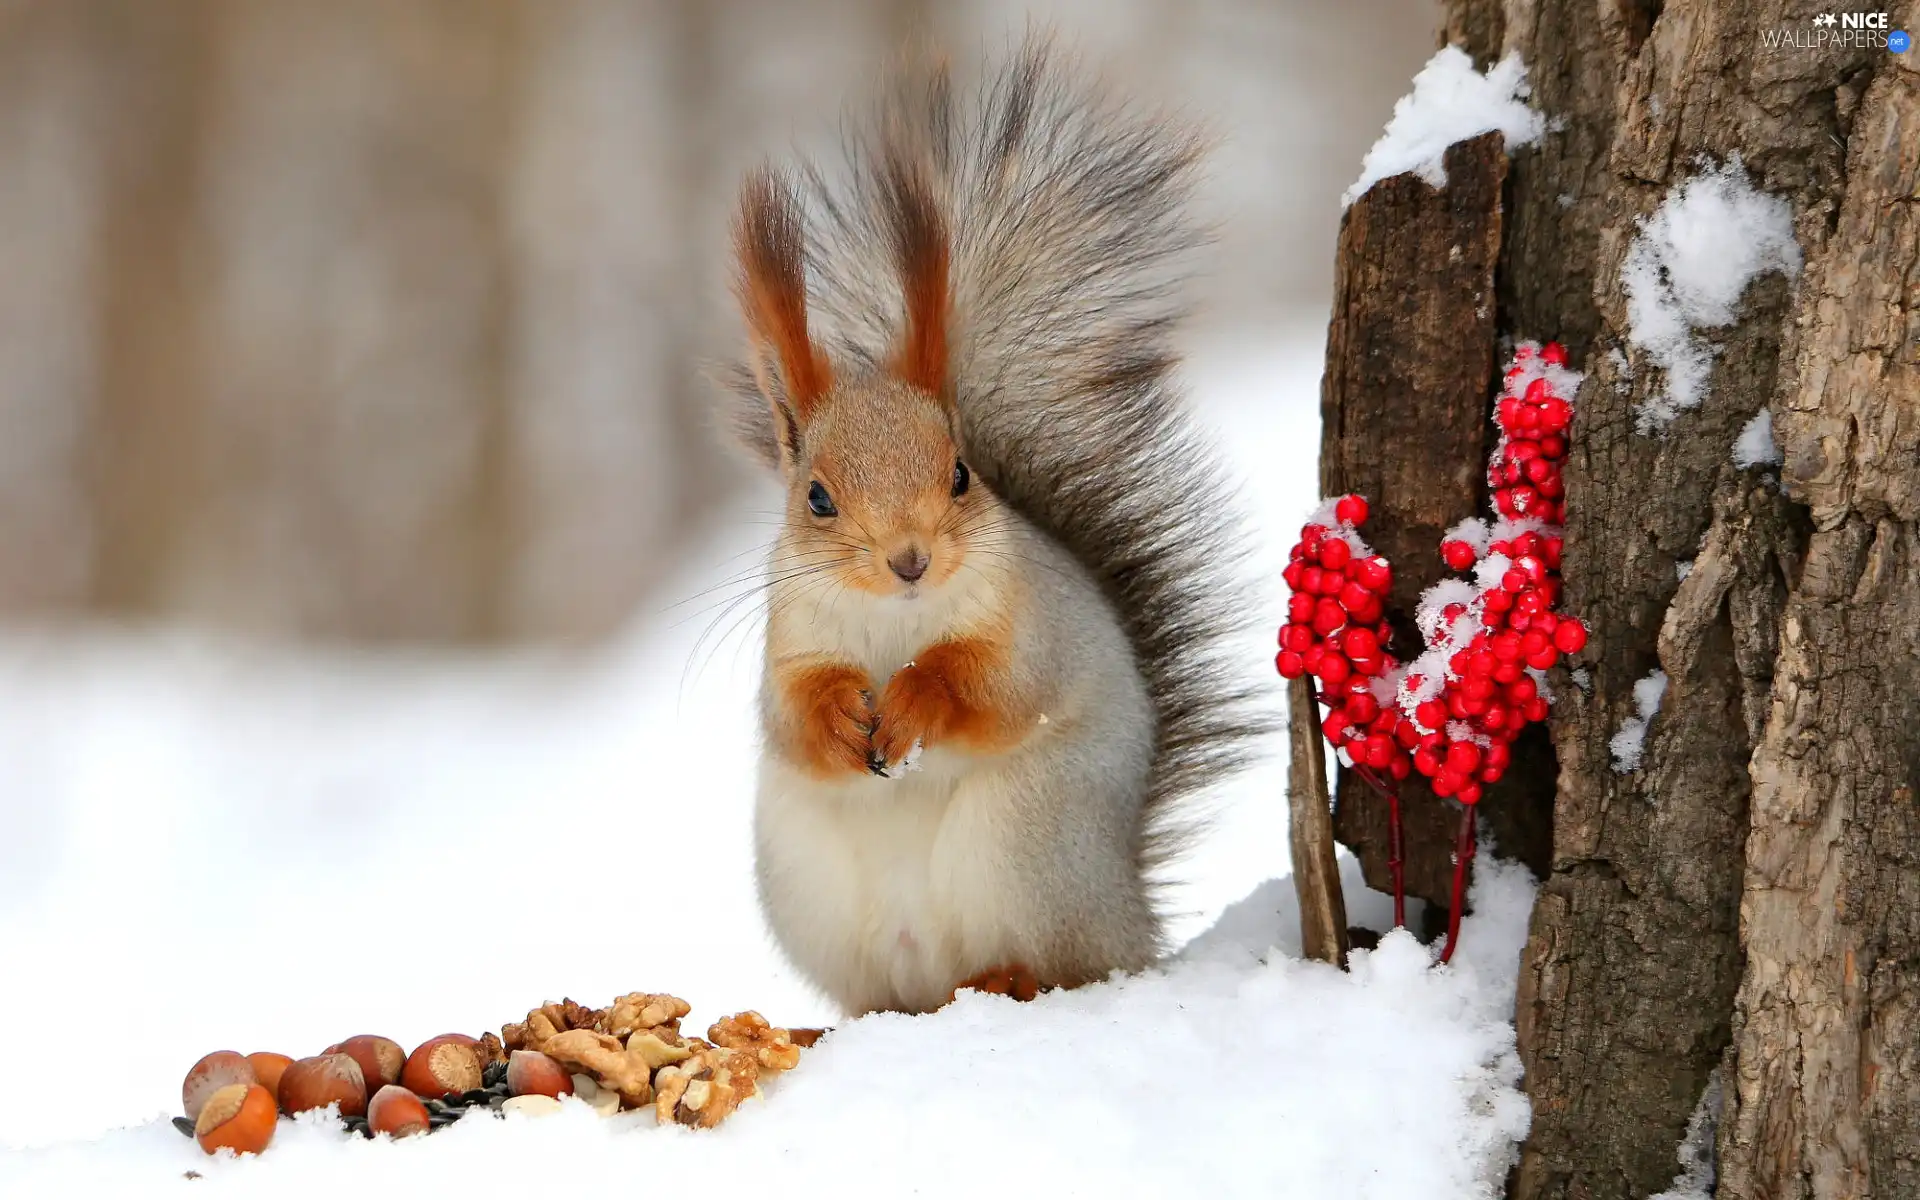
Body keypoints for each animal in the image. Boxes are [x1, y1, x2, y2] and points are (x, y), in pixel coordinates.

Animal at [714, 37, 1267, 1013]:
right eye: (816, 497)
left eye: (960, 474)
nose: (910, 559)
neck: (894, 621)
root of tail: (1130, 911)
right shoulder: (790, 643)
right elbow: (790, 718)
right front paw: (842, 716)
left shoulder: (1029, 627)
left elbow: (996, 688)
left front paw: (913, 701)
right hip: (807, 883)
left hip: (1030, 838)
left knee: (1066, 965)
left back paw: (1013, 974)